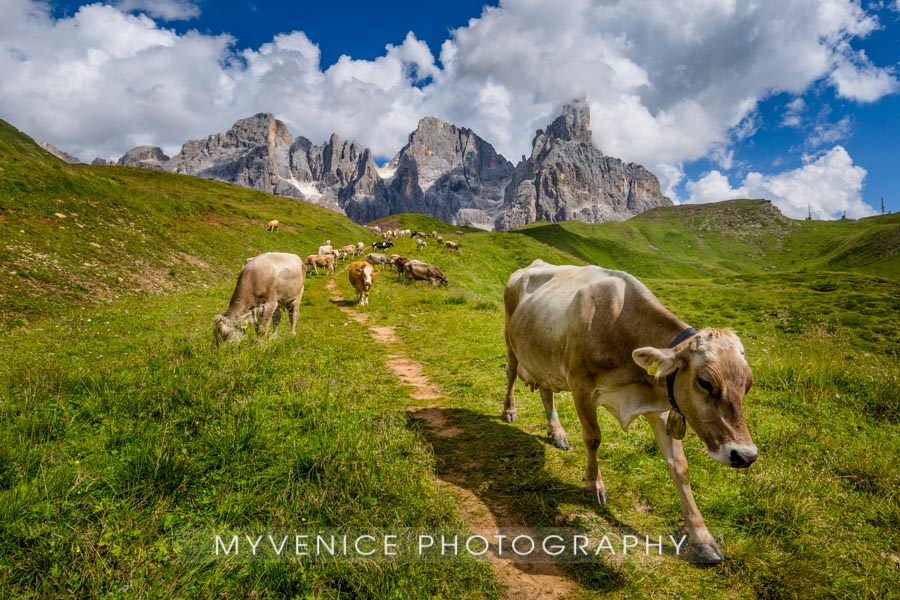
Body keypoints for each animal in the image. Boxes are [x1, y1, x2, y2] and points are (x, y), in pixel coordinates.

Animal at [502, 260, 756, 564]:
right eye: (705, 382)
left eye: (748, 384)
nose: (745, 455)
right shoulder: (581, 386)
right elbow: (593, 438)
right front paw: (594, 484)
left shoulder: (662, 402)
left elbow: (679, 466)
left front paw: (701, 537)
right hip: (511, 342)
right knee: (511, 374)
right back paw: (509, 410)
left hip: (543, 356)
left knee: (546, 391)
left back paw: (557, 433)